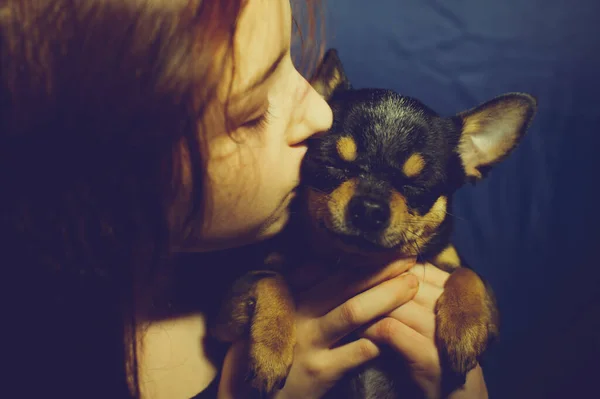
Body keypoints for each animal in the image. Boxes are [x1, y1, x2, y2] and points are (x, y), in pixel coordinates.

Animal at [210, 48, 536, 398]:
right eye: (332, 164)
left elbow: (467, 274)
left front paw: (464, 326)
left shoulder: (488, 307)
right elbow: (271, 279)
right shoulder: (226, 314)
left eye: (417, 185)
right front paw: (271, 347)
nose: (368, 208)